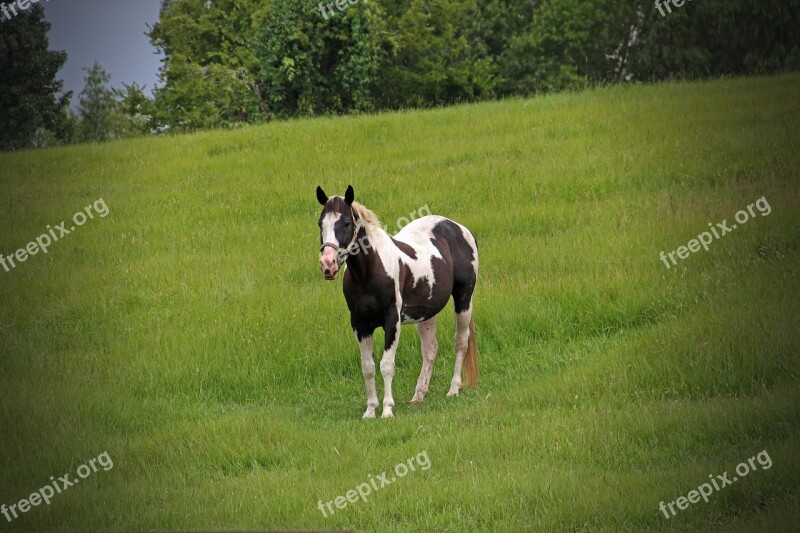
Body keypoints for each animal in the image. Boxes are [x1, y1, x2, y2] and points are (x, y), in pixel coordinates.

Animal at [318, 185, 482, 418]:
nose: (328, 264)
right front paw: (370, 410)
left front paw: (387, 410)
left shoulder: (392, 321)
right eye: (320, 223)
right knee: (430, 349)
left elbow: (386, 365)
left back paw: (453, 389)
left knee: (461, 342)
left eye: (347, 223)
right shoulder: (360, 324)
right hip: (426, 312)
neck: (370, 272)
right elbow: (368, 367)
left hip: (463, 299)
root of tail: (459, 228)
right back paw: (419, 394)